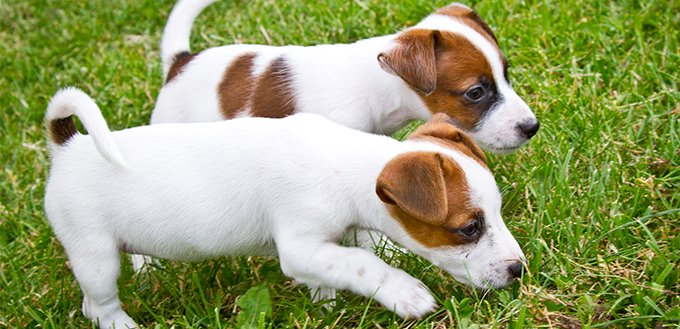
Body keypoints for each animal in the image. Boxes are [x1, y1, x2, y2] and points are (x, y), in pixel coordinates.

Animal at [45, 88, 524, 328]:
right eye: (469, 228)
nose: (519, 270)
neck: (346, 164)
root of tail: (68, 145)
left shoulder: (325, 246)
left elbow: (339, 268)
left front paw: (326, 307)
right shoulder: (299, 245)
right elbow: (364, 263)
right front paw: (404, 292)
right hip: (94, 256)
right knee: (99, 305)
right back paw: (121, 323)